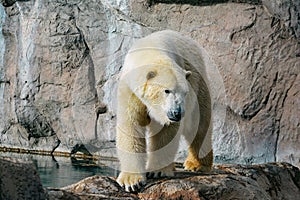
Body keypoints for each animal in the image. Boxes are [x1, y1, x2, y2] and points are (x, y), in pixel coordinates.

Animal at [116, 30, 212, 192]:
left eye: (185, 92)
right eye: (167, 90)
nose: (177, 113)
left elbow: (166, 133)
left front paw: (157, 171)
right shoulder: (130, 92)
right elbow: (131, 127)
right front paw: (131, 181)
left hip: (199, 83)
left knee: (199, 125)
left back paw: (196, 164)